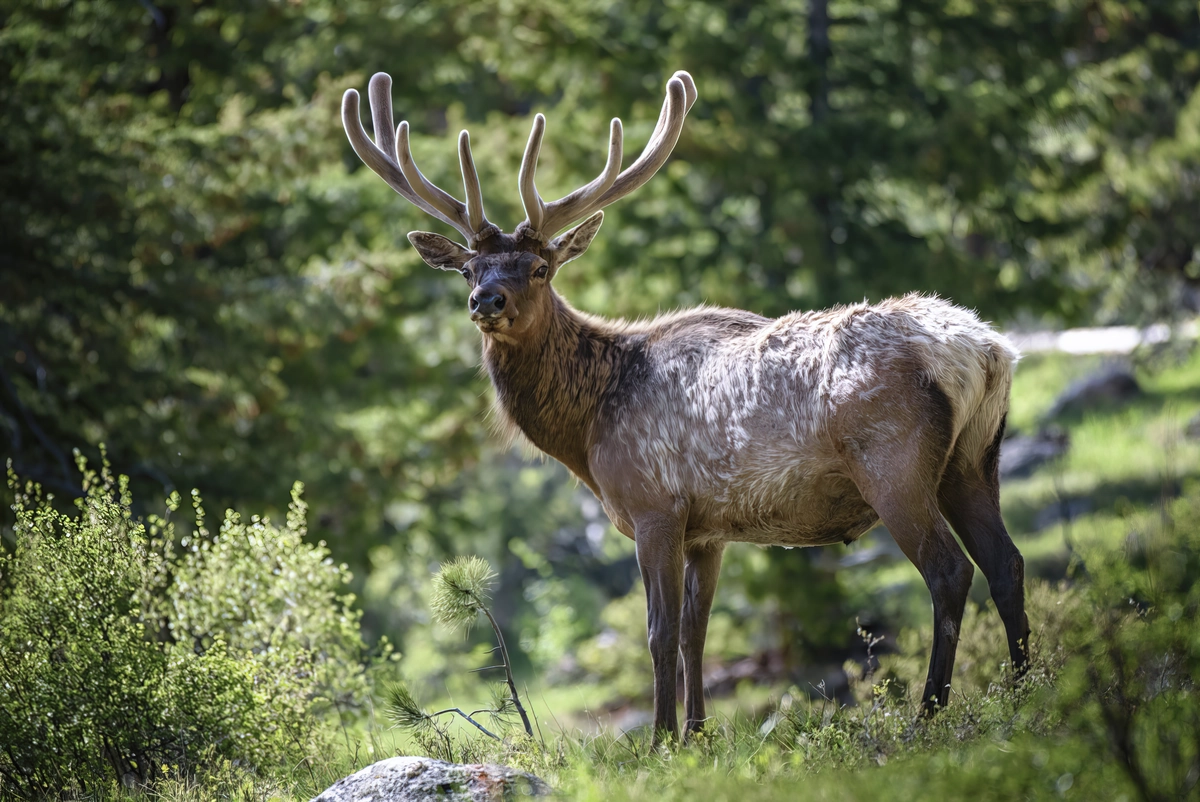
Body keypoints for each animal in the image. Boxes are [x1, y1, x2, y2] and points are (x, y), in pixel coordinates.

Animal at [342, 69, 1030, 745]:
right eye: (468, 270)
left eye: (538, 268)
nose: (487, 300)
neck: (588, 428)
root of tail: (987, 349)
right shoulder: (709, 528)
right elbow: (697, 632)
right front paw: (699, 734)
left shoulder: (655, 506)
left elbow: (660, 631)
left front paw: (660, 741)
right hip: (973, 461)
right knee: (1006, 562)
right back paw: (1028, 691)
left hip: (895, 464)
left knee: (949, 571)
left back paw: (929, 714)